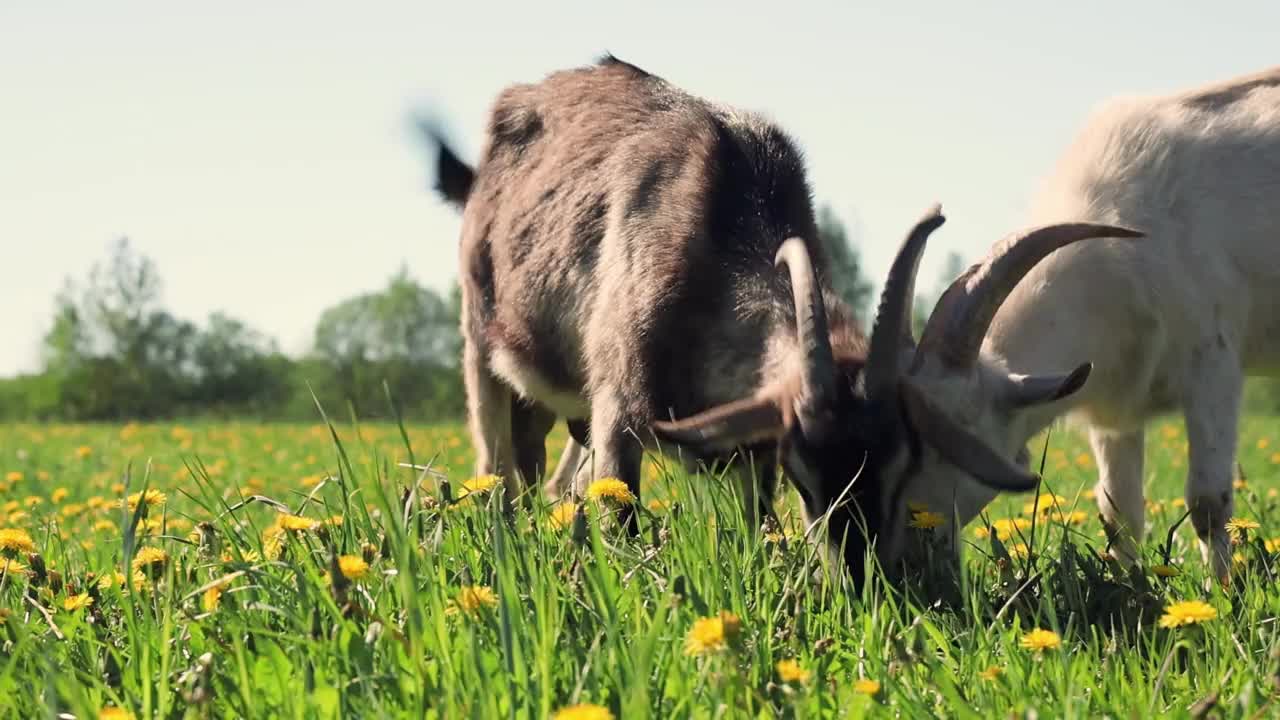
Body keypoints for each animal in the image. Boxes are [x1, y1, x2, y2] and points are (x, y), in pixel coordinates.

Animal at [427, 54, 1131, 584]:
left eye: (904, 462)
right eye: (805, 472)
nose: (859, 576)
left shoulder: (746, 448)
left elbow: (754, 523)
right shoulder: (617, 411)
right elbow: (619, 517)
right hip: (483, 353)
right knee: (501, 466)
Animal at [865, 64, 1274, 579]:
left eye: (938, 446)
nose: (901, 563)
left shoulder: (1212, 363)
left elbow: (1208, 502)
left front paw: (1220, 591)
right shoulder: (1115, 403)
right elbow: (1120, 513)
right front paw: (1131, 583)